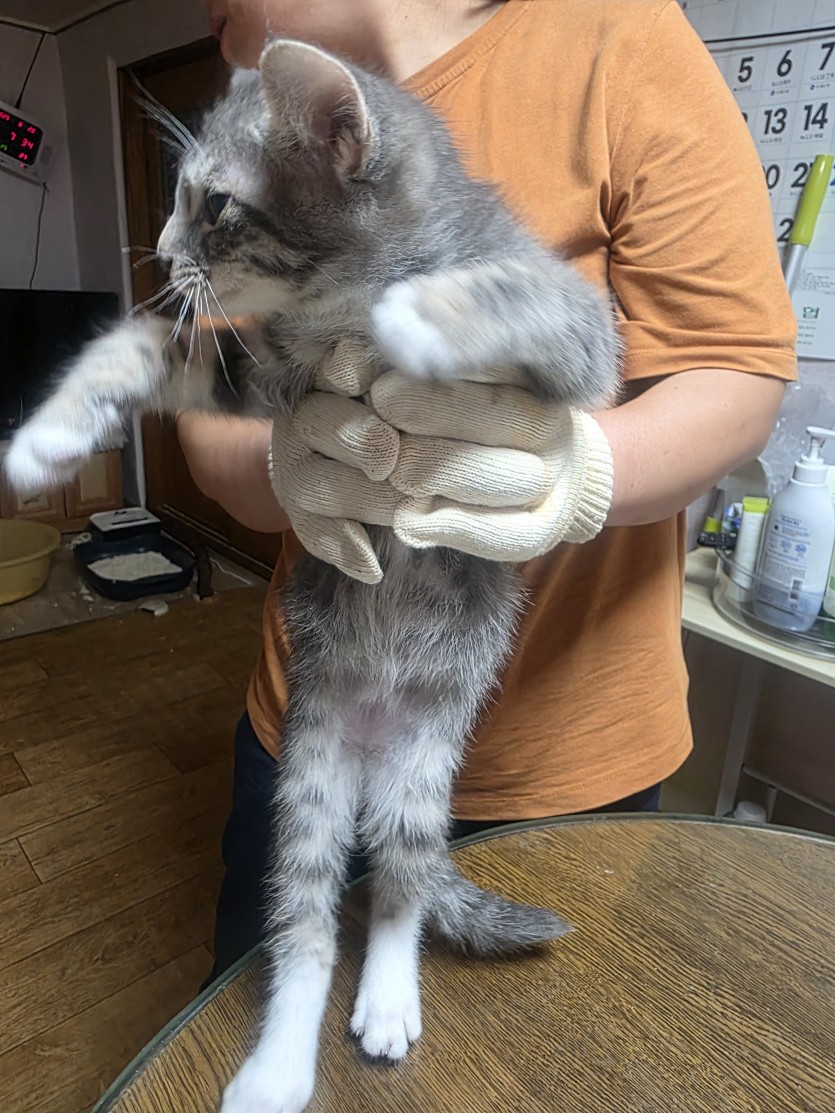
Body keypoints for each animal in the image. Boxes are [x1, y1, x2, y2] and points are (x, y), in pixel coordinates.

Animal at [5, 39, 619, 1113]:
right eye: (179, 200)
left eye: (214, 204)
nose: (159, 252)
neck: (332, 309)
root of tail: (371, 752)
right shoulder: (259, 375)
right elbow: (144, 345)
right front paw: (46, 438)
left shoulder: (579, 333)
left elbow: (528, 296)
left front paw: (418, 317)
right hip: (308, 769)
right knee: (306, 913)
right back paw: (281, 1060)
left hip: (426, 760)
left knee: (401, 888)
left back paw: (388, 995)